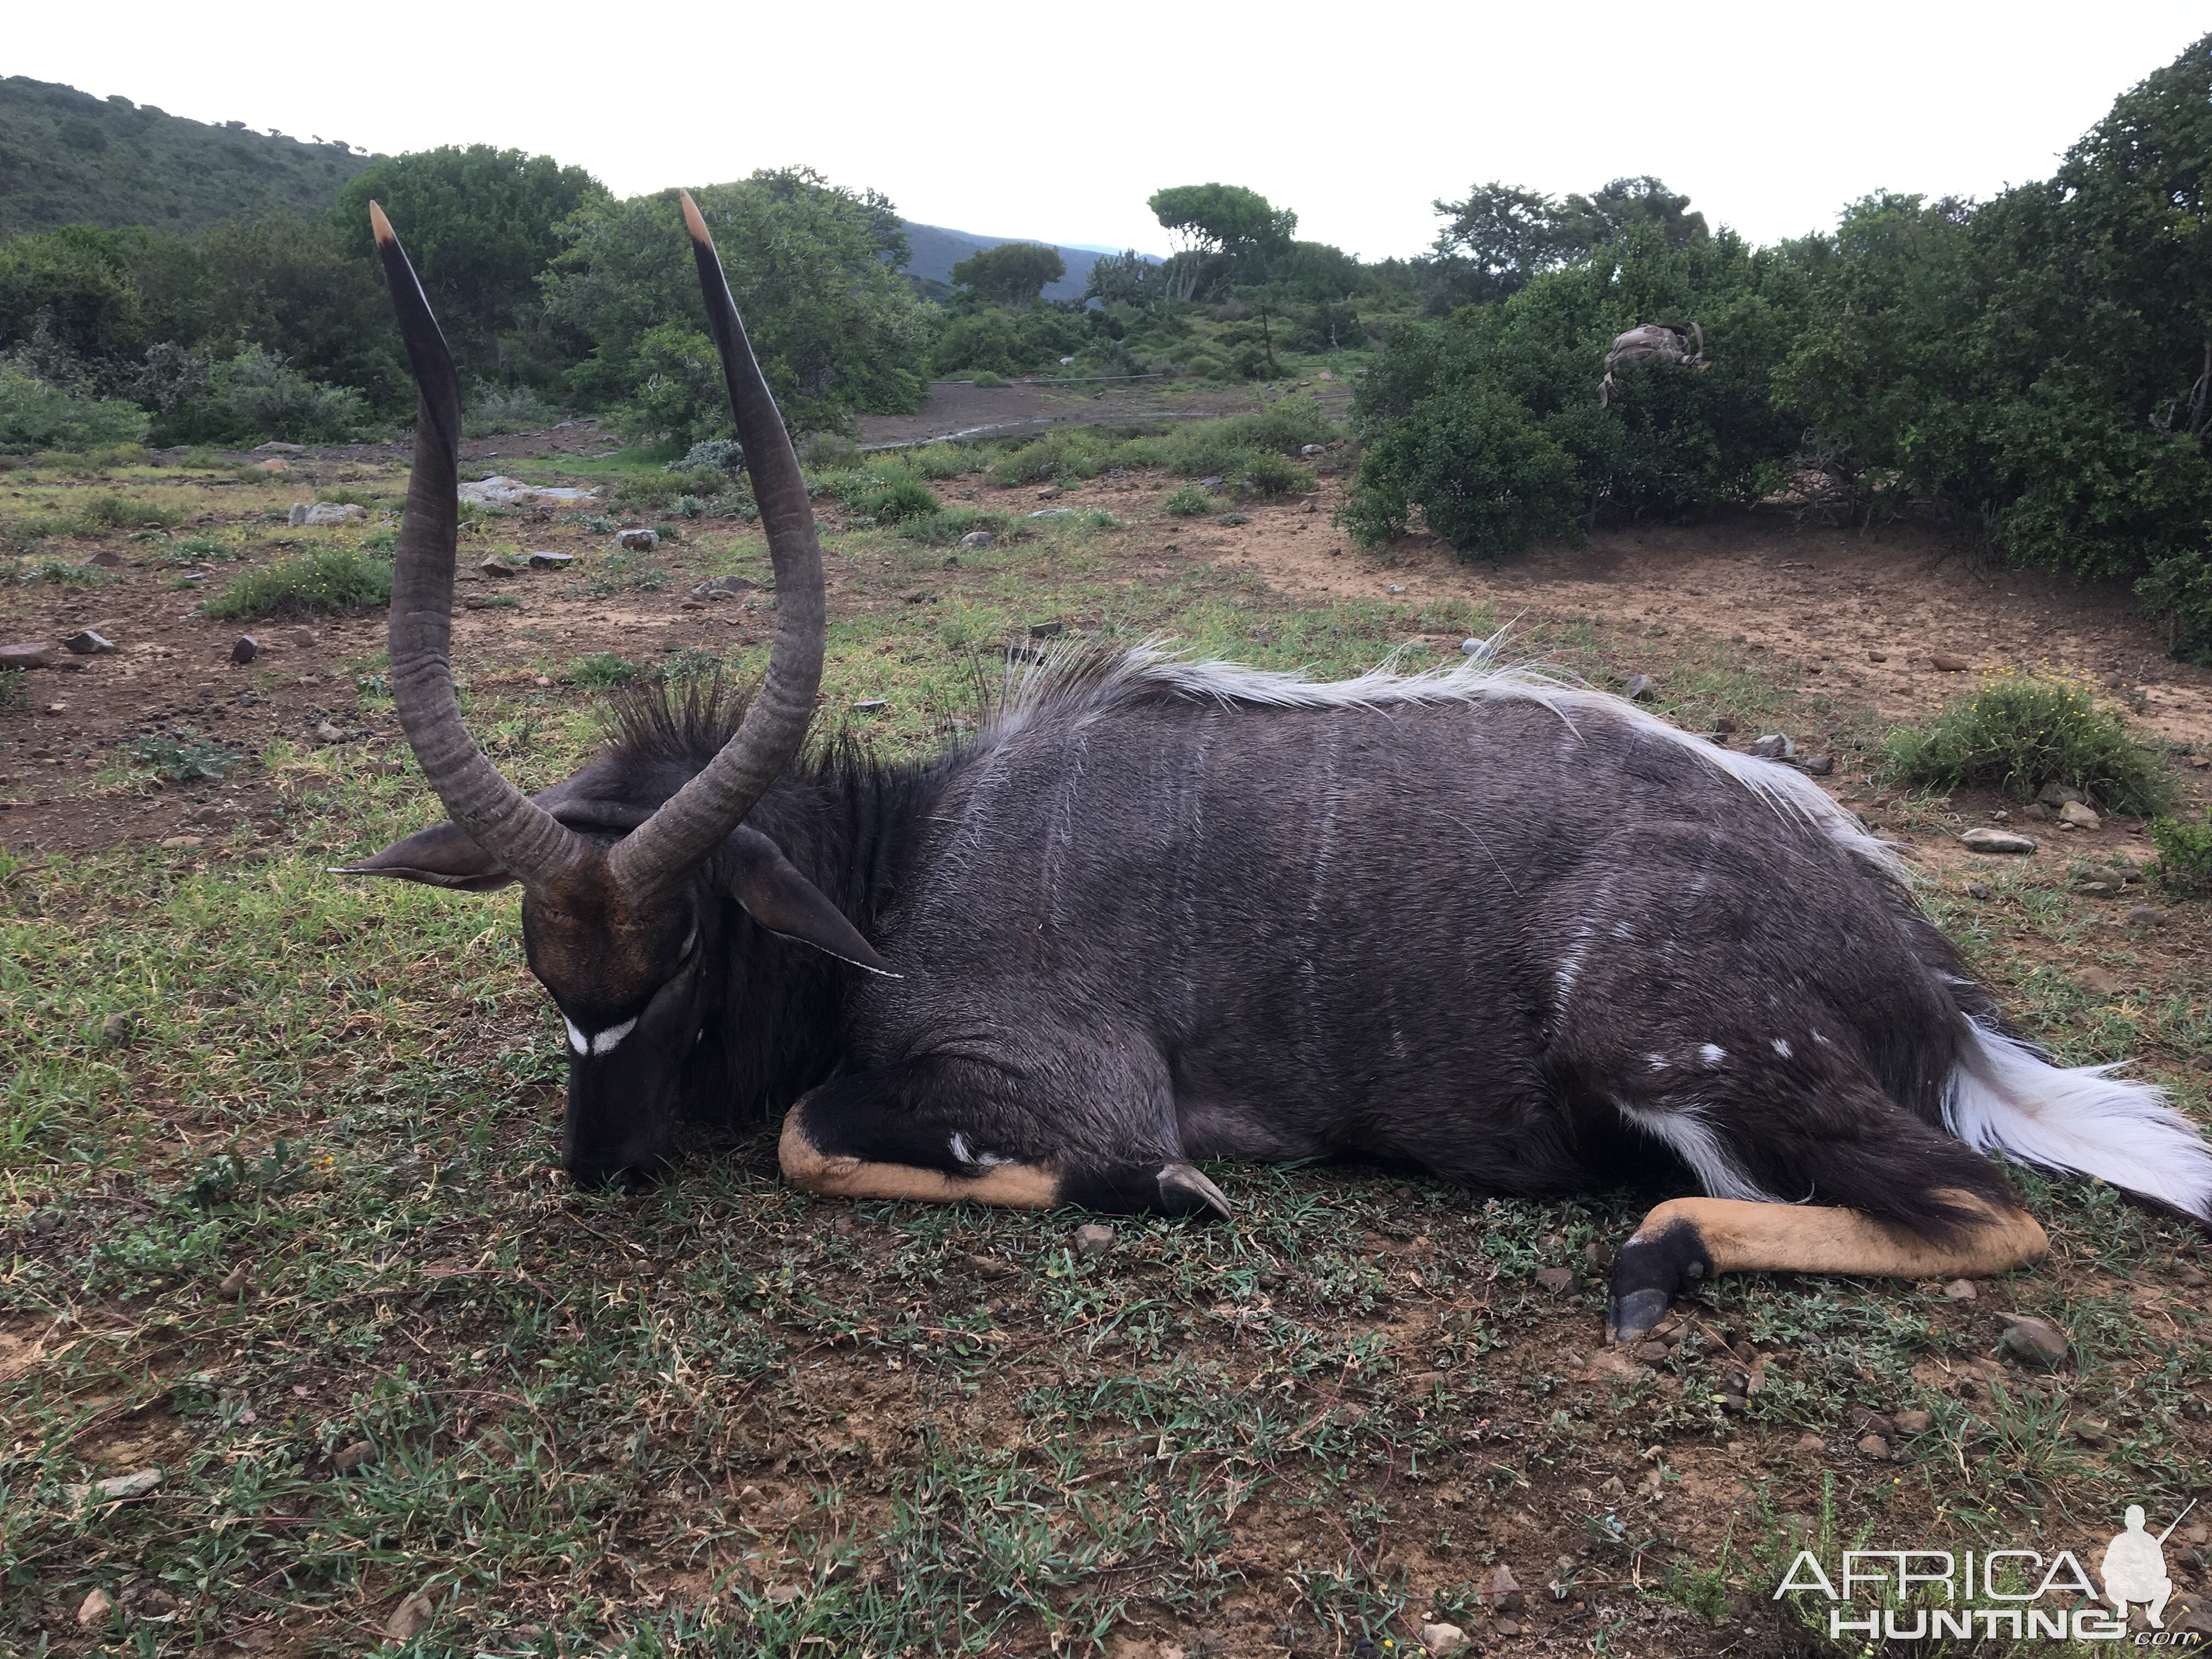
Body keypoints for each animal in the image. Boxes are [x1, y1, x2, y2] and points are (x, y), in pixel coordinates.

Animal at [345, 194, 2212, 1345]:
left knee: (1985, 1209)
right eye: (546, 972)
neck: (914, 853)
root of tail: (1931, 984)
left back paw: (1655, 1255)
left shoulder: (1065, 1076)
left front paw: (1162, 1191)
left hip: (1671, 1050)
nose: (597, 1165)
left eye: (680, 962)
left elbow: (819, 1137)